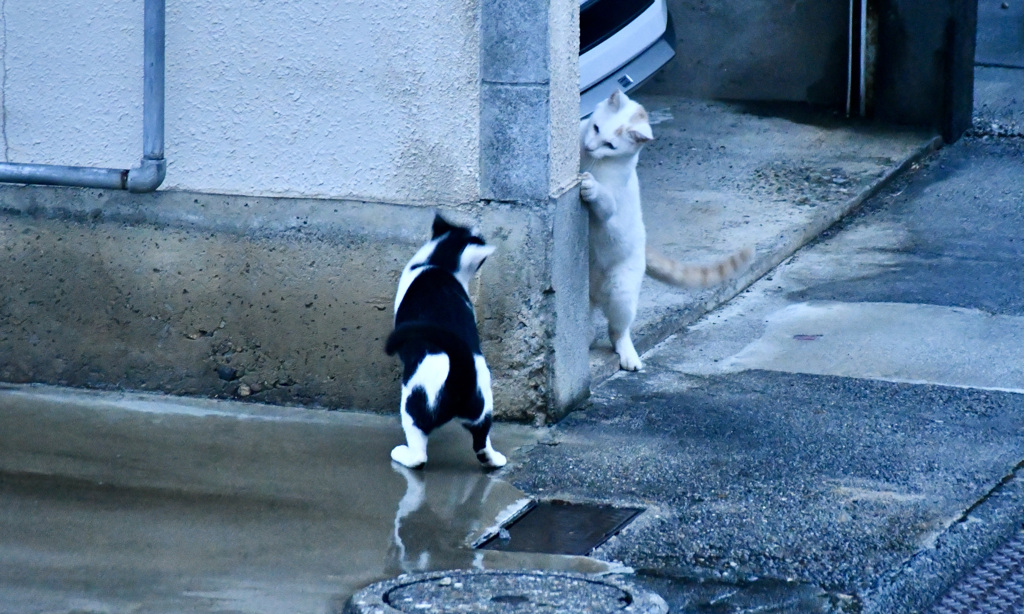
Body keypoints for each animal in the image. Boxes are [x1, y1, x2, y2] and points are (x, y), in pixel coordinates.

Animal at [385, 215, 507, 470]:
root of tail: (460, 372)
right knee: (482, 443)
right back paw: (495, 460)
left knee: (419, 453)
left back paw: (402, 455)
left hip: (412, 406)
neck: (440, 265)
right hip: (483, 409)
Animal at [581, 90, 757, 368]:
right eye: (596, 127)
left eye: (610, 145)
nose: (589, 147)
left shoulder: (612, 205)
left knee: (619, 331)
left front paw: (591, 187)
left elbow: (604, 201)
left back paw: (629, 356)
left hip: (622, 293)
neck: (589, 160)